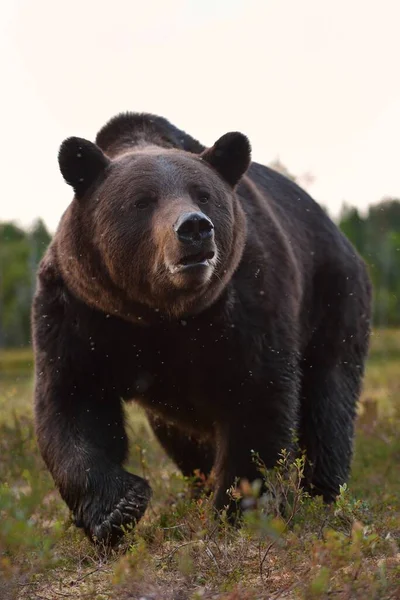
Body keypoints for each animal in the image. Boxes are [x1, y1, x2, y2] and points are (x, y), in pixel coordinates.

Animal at [31, 110, 372, 548]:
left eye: (203, 194)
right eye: (142, 201)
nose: (194, 227)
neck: (162, 314)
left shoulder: (247, 301)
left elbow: (256, 398)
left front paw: (239, 509)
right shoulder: (83, 311)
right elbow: (73, 402)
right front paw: (118, 508)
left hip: (333, 297)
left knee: (328, 401)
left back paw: (321, 494)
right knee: (182, 436)